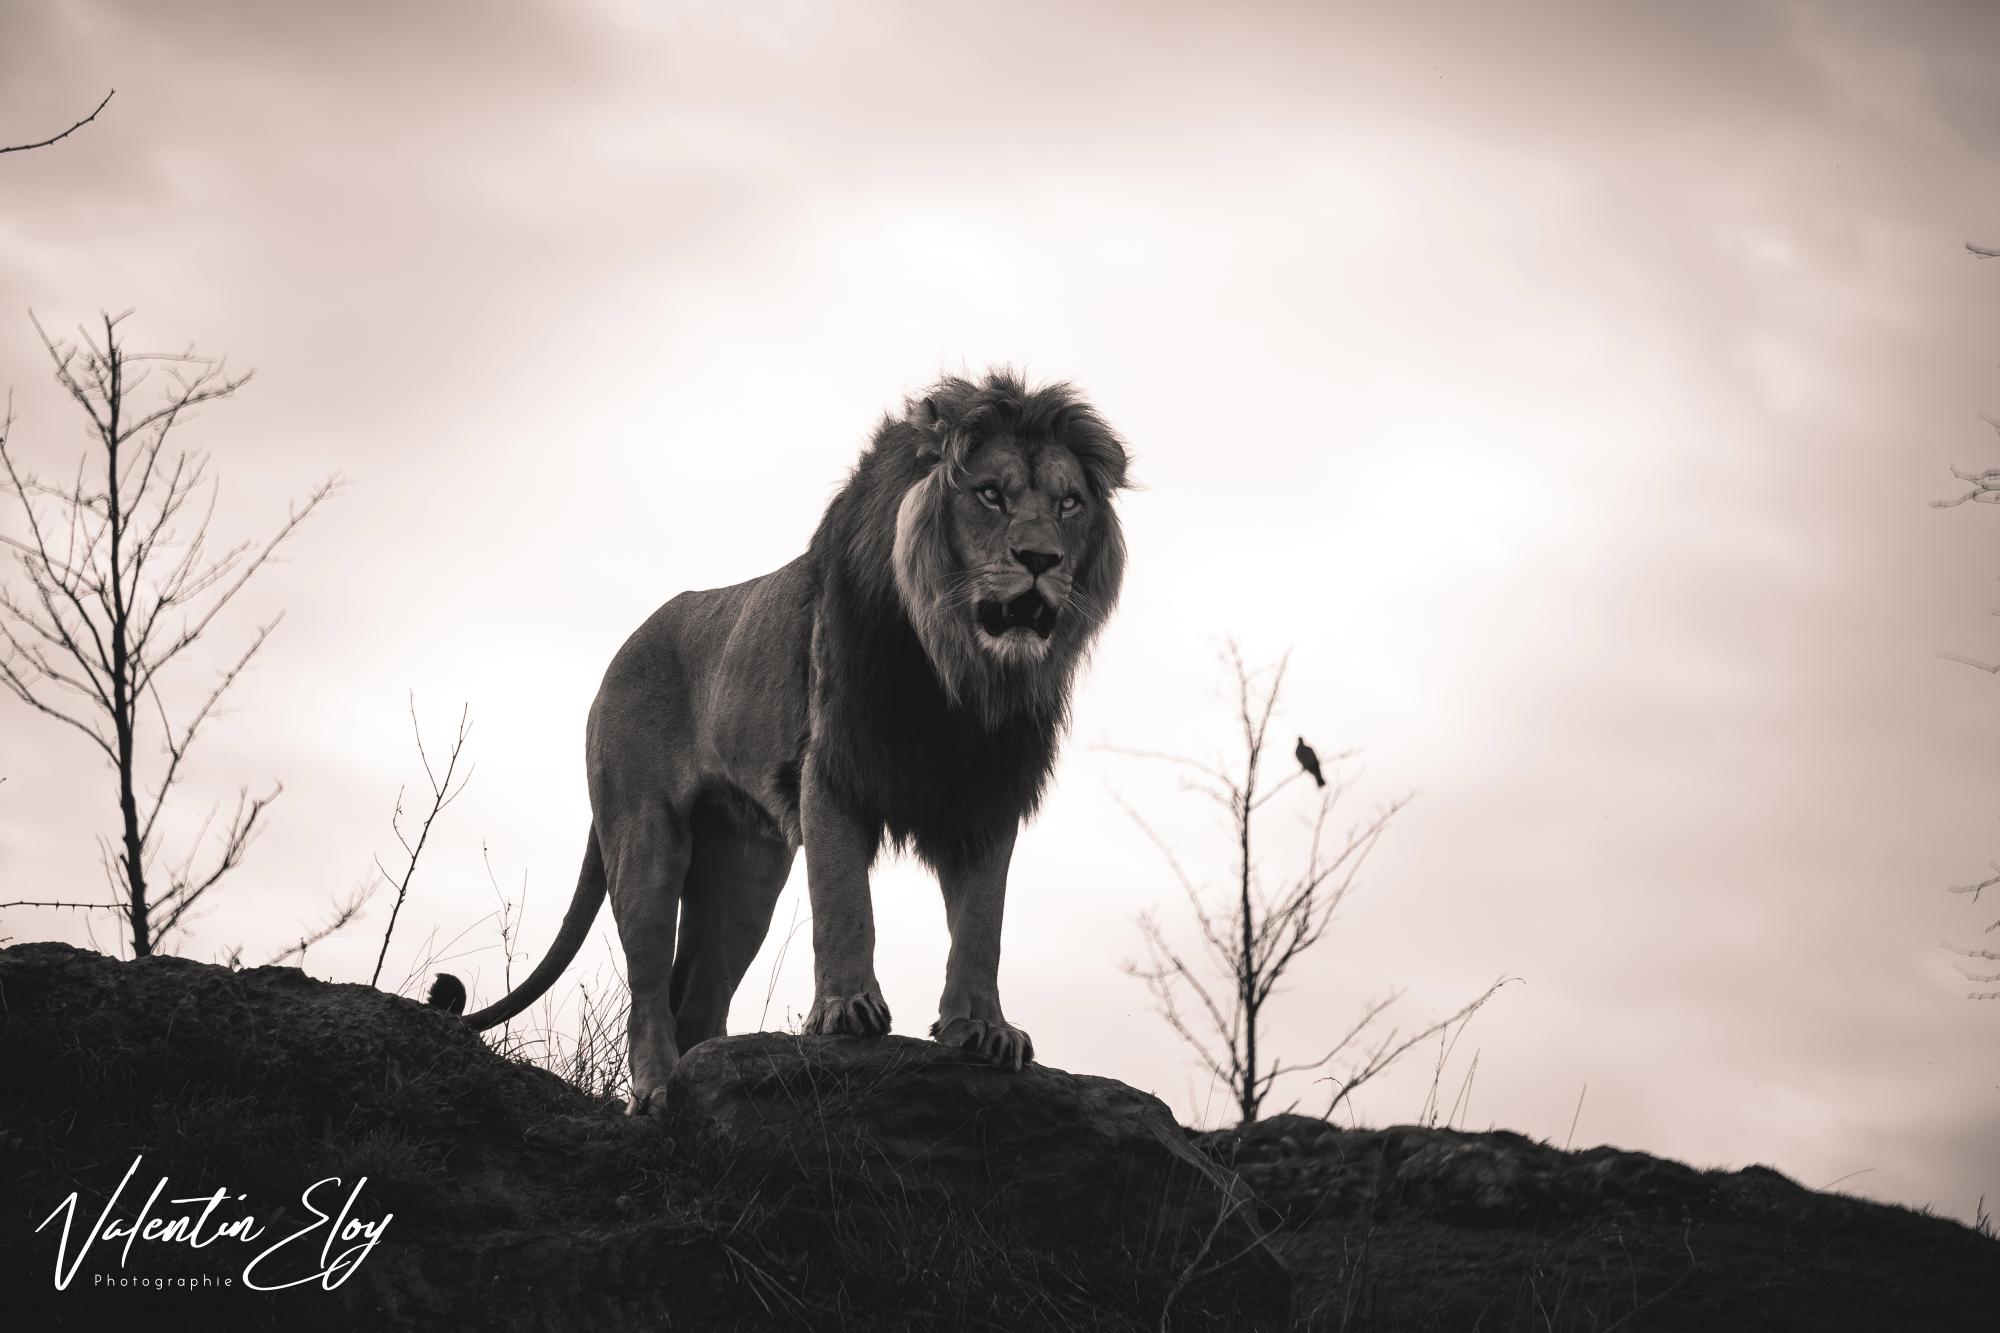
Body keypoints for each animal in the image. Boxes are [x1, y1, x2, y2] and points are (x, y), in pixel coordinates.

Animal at [438, 370, 1130, 1114]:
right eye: (991, 494)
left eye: (1068, 503)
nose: (1040, 560)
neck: (959, 674)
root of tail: (622, 649)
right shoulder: (832, 769)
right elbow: (844, 898)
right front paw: (847, 1011)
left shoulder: (986, 795)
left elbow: (981, 924)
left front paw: (983, 1029)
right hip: (644, 838)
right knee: (648, 988)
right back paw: (655, 1092)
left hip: (744, 875)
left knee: (698, 999)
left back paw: (706, 1080)